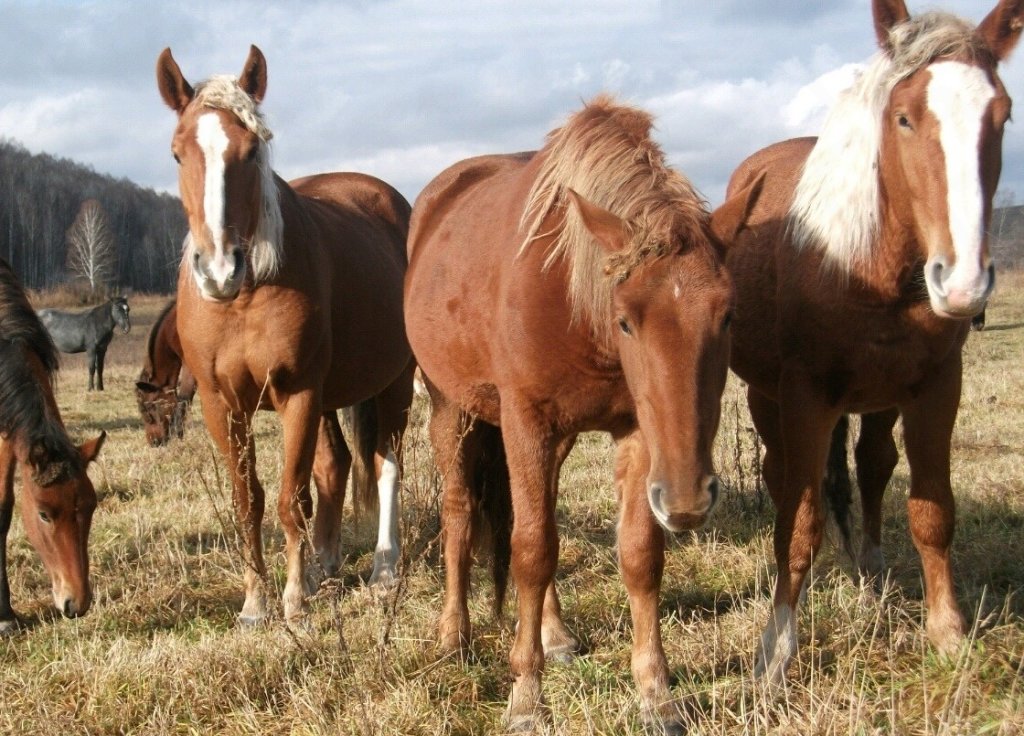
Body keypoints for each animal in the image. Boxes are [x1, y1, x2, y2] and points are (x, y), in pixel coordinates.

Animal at [157, 44, 413, 622]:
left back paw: (383, 570)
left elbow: (290, 496)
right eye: (179, 154)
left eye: (252, 150)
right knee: (336, 466)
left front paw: (294, 598)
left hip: (394, 383)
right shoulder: (221, 403)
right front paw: (257, 601)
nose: (219, 270)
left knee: (386, 464)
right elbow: (248, 500)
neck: (244, 299)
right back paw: (325, 565)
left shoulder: (298, 393)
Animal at [407, 96, 761, 732]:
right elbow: (530, 549)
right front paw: (526, 697)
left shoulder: (637, 431)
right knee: (461, 512)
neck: (572, 301)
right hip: (452, 410)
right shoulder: (525, 423)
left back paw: (556, 635)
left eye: (729, 316)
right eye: (625, 320)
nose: (689, 501)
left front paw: (656, 694)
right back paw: (454, 636)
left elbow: (638, 554)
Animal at [724, 0, 1019, 687]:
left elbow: (932, 512)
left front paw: (948, 632)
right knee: (785, 478)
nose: (962, 283)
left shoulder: (936, 388)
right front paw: (776, 652)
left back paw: (872, 571)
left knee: (873, 465)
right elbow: (798, 524)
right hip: (766, 396)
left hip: (881, 399)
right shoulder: (805, 398)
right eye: (904, 117)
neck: (861, 263)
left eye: (1002, 116)